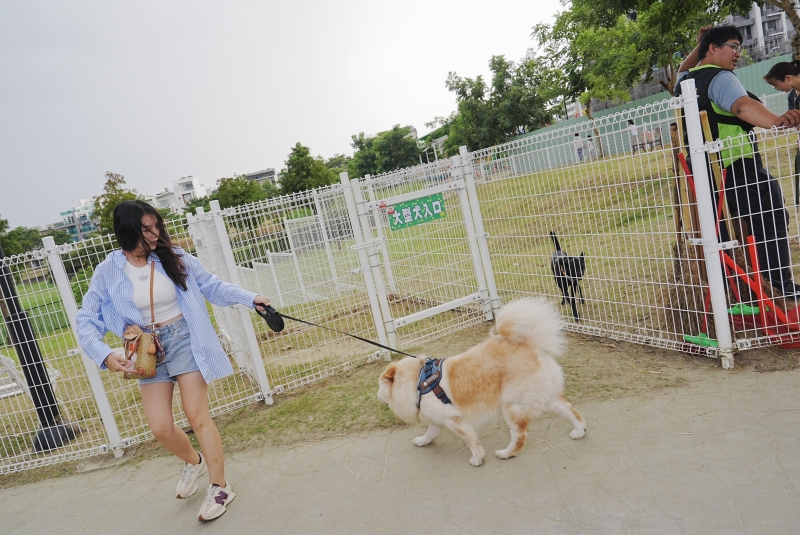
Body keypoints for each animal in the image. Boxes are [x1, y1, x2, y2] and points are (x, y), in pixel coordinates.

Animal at [378, 300, 584, 466]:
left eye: (380, 387)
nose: (377, 395)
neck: (419, 381)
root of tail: (531, 345)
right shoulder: (439, 419)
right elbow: (431, 433)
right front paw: (422, 441)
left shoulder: (455, 420)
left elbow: (470, 441)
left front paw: (477, 459)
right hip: (543, 396)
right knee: (568, 409)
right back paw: (580, 431)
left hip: (512, 407)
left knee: (520, 437)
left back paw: (505, 453)